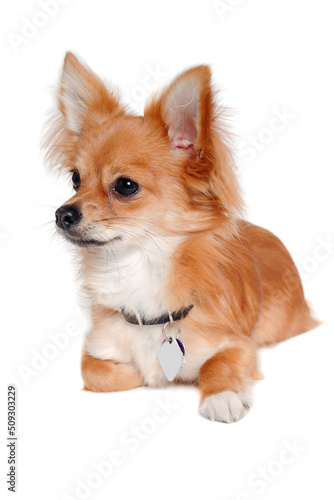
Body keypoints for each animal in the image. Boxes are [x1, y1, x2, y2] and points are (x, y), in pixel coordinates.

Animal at [44, 53, 318, 422]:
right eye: (75, 179)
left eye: (125, 186)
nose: (63, 214)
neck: (140, 267)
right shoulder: (97, 346)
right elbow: (96, 372)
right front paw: (141, 373)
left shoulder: (239, 344)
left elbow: (216, 365)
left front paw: (221, 396)